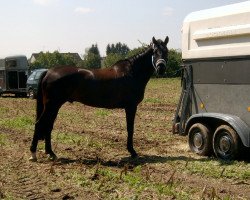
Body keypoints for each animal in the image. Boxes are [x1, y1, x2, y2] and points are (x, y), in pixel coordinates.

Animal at [29, 36, 170, 161]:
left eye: (166, 51)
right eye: (154, 52)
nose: (161, 68)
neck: (132, 73)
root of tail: (48, 71)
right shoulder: (131, 107)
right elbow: (130, 128)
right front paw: (132, 152)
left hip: (54, 106)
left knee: (48, 126)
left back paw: (50, 153)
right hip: (52, 105)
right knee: (40, 124)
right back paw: (33, 154)